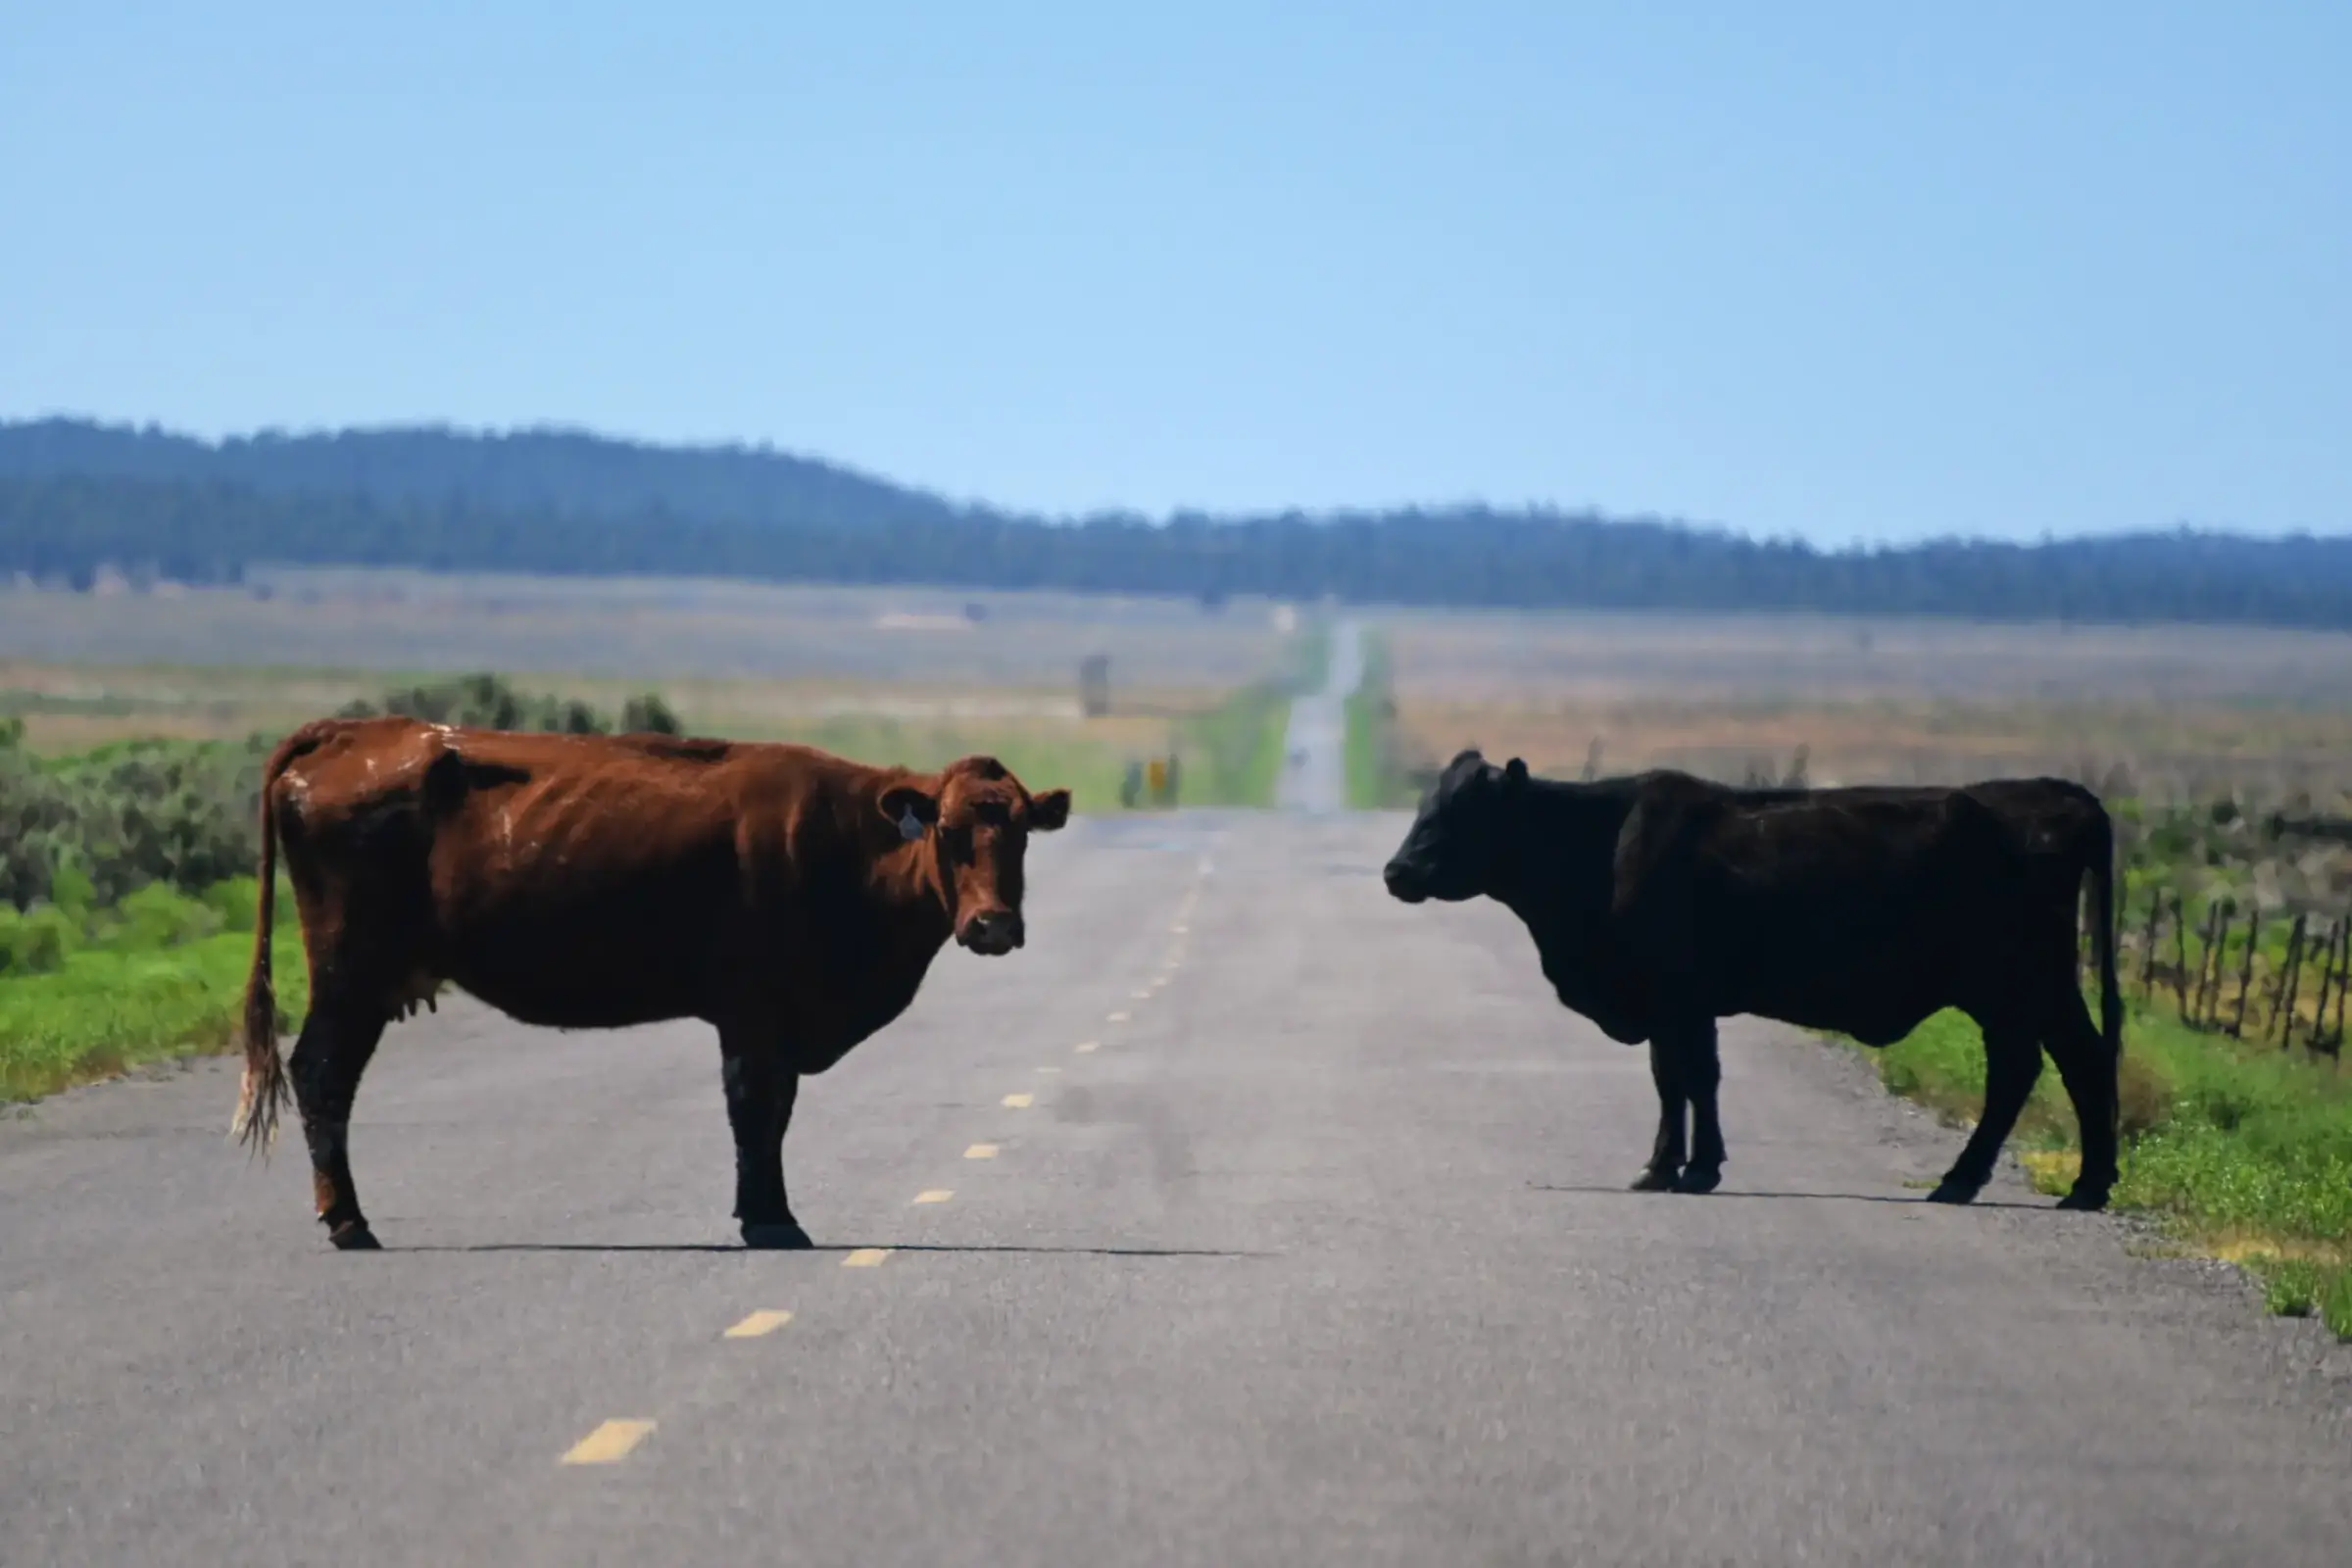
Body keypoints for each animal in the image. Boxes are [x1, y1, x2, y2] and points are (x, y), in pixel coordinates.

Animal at [229, 715, 1071, 1251]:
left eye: (1021, 834)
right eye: (949, 832)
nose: (992, 925)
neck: (844, 839)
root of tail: (353, 731)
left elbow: (771, 1114)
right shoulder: (754, 1014)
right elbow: (755, 1110)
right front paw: (771, 1219)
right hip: (350, 973)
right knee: (322, 1073)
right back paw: (349, 1221)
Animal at [1380, 750, 2122, 1211]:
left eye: (1461, 811)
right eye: (1424, 806)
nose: (1395, 871)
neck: (1602, 850)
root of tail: (2059, 794)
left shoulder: (1680, 999)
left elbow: (1692, 1079)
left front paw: (1688, 1168)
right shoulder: (1670, 1007)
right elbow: (1674, 1080)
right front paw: (1670, 1167)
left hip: (2031, 984)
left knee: (2076, 1062)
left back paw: (2074, 1185)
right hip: (2008, 996)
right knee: (2025, 1069)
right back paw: (1991, 1180)